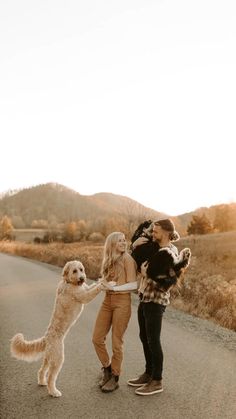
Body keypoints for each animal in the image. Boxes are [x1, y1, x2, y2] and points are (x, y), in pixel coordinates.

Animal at [9, 260, 108, 398]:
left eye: (81, 269)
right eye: (74, 271)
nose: (82, 278)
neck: (69, 282)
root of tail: (46, 338)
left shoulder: (85, 288)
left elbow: (93, 285)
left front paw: (102, 279)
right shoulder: (84, 296)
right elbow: (95, 290)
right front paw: (106, 284)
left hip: (48, 359)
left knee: (41, 371)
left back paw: (42, 382)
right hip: (58, 360)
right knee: (51, 377)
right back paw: (54, 392)